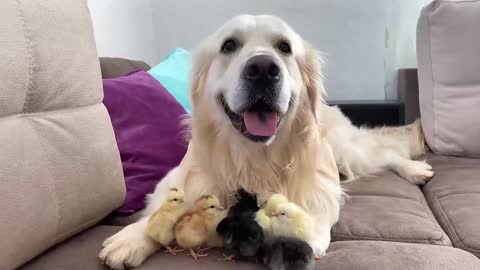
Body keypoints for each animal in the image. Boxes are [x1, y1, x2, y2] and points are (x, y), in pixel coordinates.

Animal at [99, 14, 430, 270]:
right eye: (229, 45)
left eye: (284, 47)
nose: (262, 69)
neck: (253, 156)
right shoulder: (181, 177)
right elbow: (161, 204)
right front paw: (130, 238)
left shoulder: (322, 182)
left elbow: (320, 205)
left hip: (344, 149)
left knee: (385, 154)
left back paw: (416, 169)